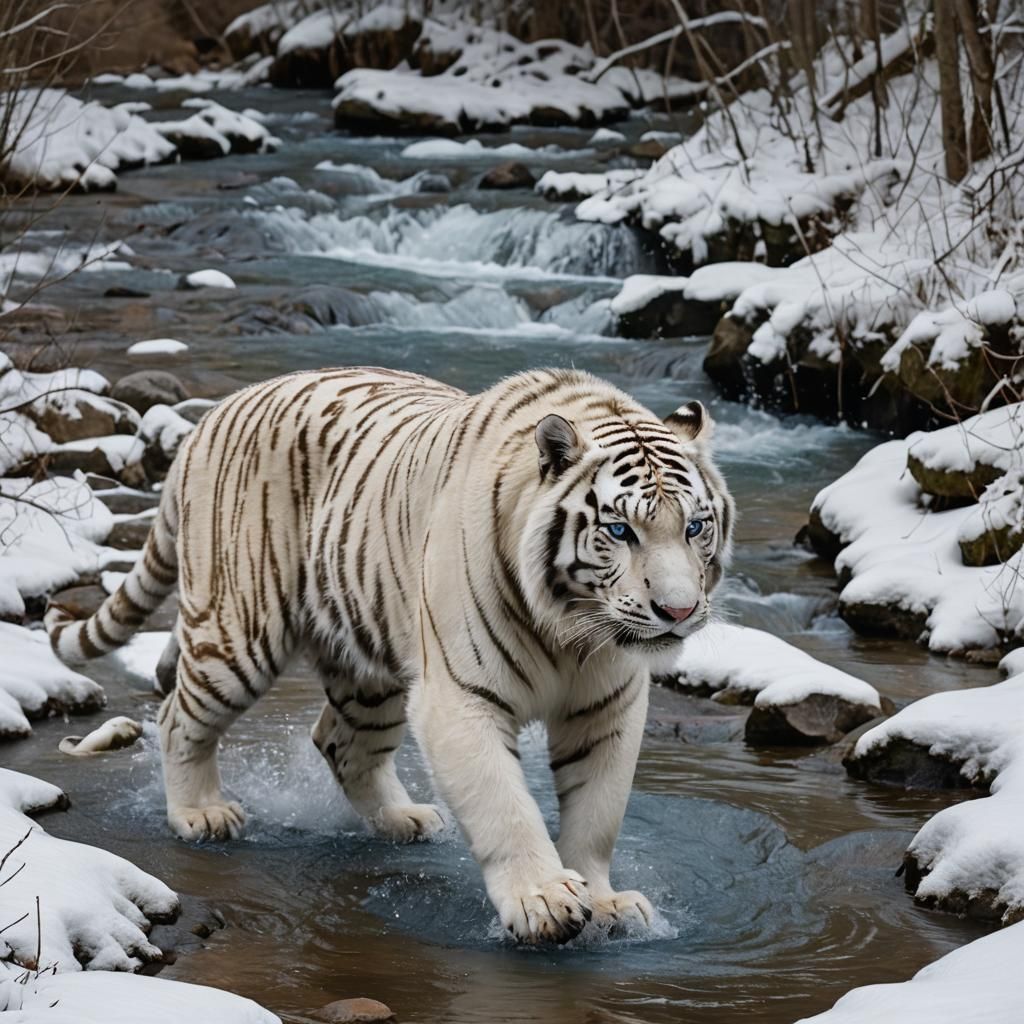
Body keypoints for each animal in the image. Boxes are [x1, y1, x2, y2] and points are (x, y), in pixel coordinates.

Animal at [46, 366, 734, 945]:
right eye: (621, 530)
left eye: (695, 527)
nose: (677, 611)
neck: (572, 629)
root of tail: (210, 418)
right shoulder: (462, 697)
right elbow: (506, 808)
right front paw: (543, 901)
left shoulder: (607, 706)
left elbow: (597, 813)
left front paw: (605, 900)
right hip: (237, 633)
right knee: (177, 717)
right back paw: (202, 813)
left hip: (368, 663)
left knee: (342, 743)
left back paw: (404, 819)